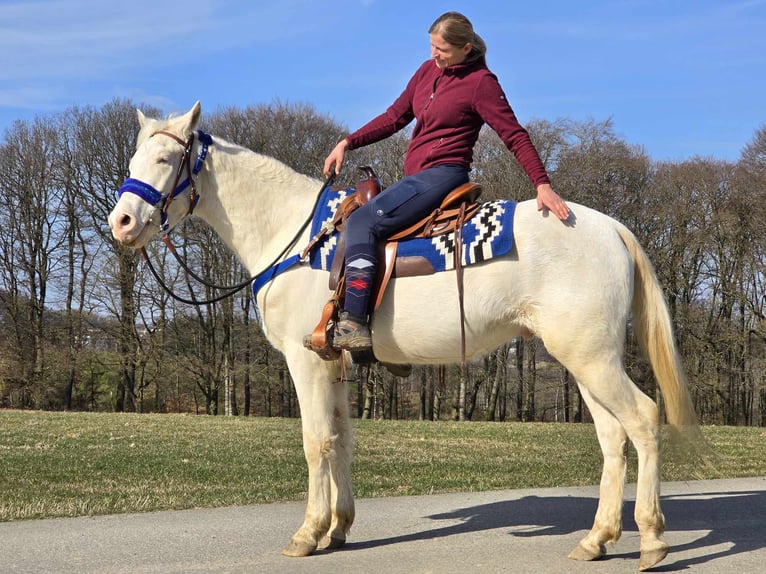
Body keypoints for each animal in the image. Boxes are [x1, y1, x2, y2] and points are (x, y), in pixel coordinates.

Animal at [111, 102, 704, 572]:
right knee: (612, 438)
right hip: (585, 361)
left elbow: (314, 441)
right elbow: (341, 440)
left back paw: (652, 539)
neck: (296, 238)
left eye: (164, 161)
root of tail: (609, 227)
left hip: (593, 359)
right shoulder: (334, 365)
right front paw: (338, 527)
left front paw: (308, 532)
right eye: (135, 160)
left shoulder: (306, 365)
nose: (121, 223)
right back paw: (597, 538)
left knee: (643, 421)